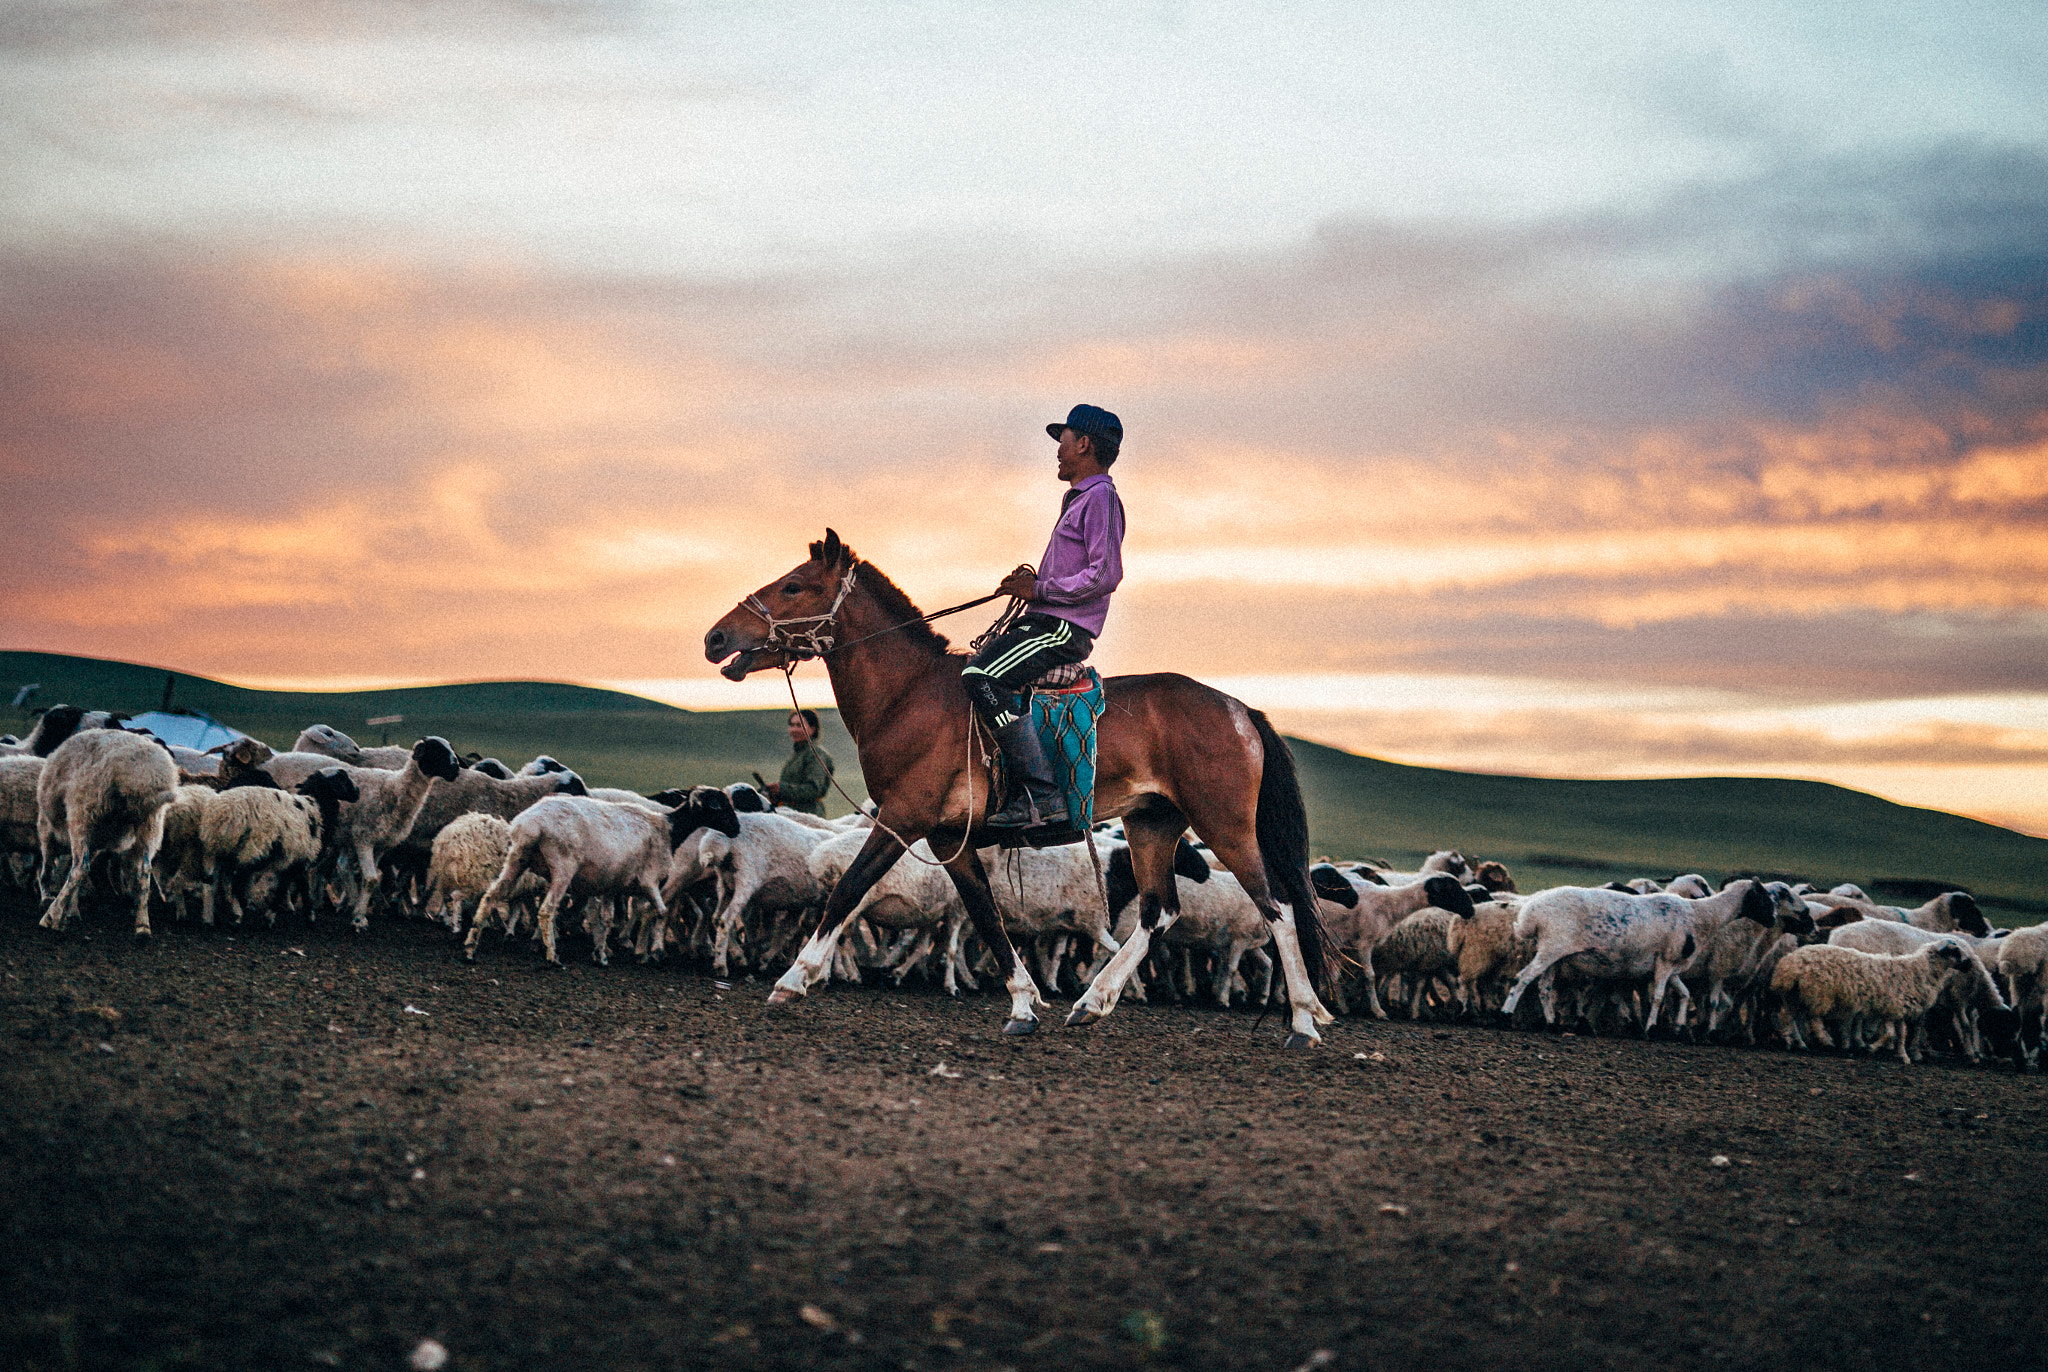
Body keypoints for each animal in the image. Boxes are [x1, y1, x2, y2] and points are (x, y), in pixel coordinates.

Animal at [37, 729, 179, 933]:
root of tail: (146, 775)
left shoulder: (47, 828)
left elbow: (49, 868)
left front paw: (51, 900)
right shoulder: (98, 840)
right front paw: (71, 910)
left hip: (83, 813)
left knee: (79, 867)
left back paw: (50, 917)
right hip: (150, 823)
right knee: (144, 871)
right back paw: (142, 925)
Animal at [704, 532, 1343, 1048]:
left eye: (794, 586)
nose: (714, 637)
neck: (908, 695)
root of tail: (1237, 708)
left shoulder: (903, 817)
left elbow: (848, 891)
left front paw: (792, 981)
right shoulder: (949, 838)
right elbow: (987, 915)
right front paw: (1023, 1003)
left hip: (1225, 826)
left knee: (1279, 907)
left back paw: (1303, 1021)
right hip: (1152, 824)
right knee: (1158, 912)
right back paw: (1092, 1002)